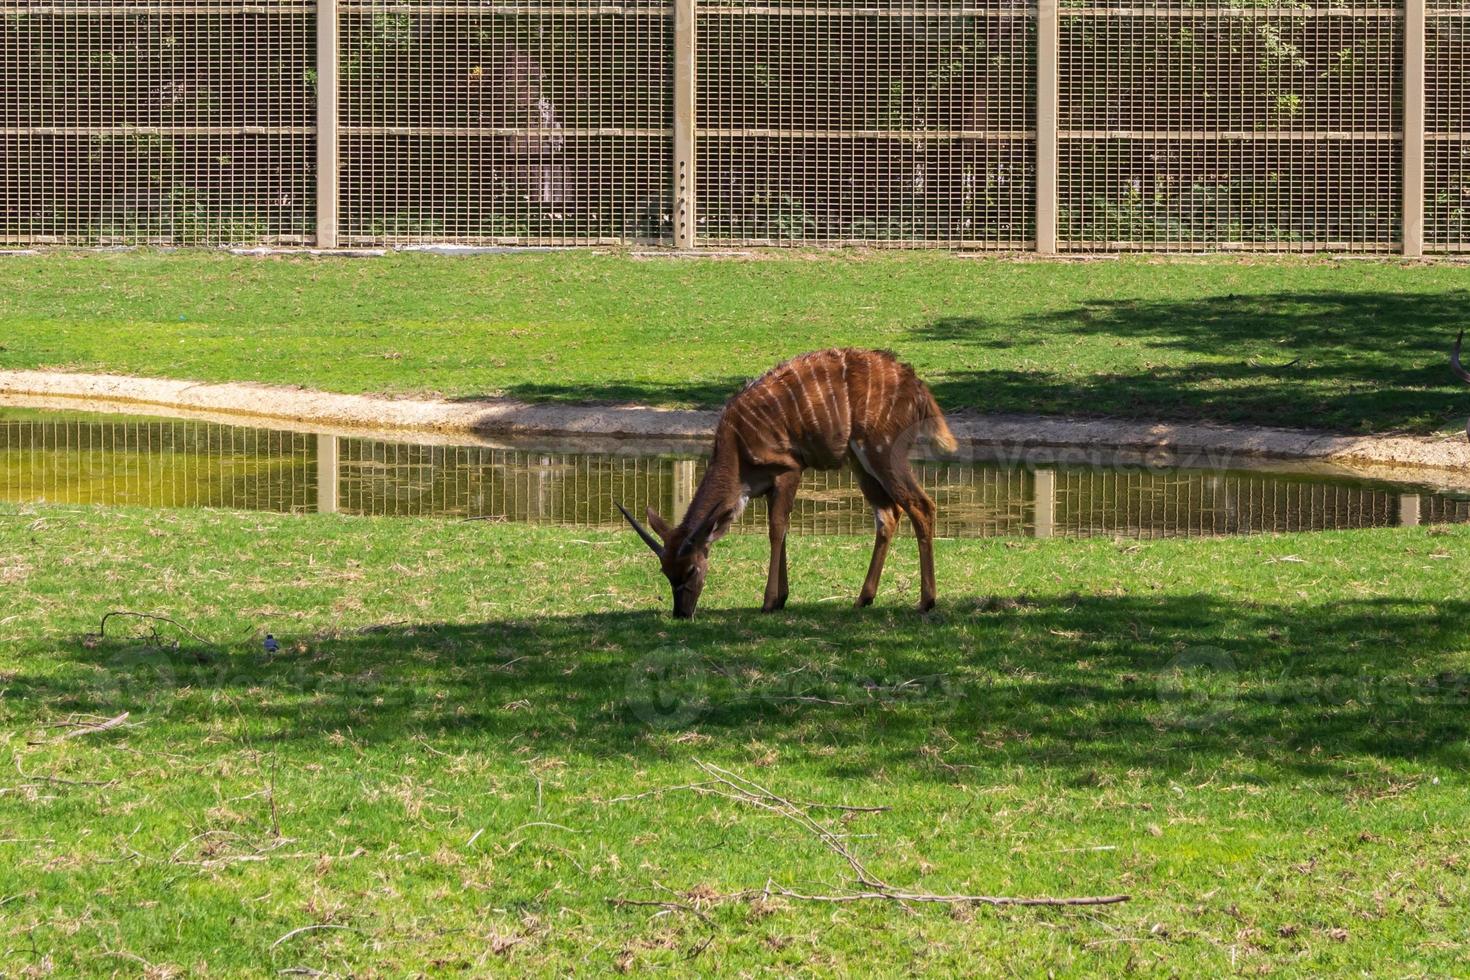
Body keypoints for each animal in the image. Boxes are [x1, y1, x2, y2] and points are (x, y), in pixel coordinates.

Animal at [614, 348, 958, 617]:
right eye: (665, 571)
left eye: (691, 569)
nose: (681, 613)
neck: (736, 449)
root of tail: (919, 389)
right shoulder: (767, 485)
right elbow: (782, 528)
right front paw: (781, 598)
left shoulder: (789, 469)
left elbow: (777, 528)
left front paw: (769, 601)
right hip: (859, 462)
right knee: (888, 514)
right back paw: (863, 598)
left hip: (883, 451)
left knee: (921, 505)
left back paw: (926, 602)